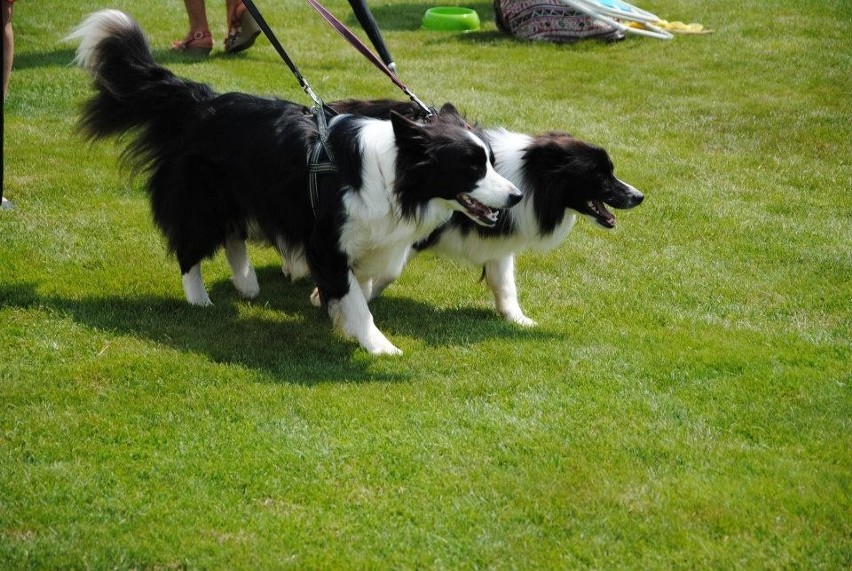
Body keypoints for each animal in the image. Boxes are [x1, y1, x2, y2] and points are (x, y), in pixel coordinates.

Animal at [70, 11, 520, 356]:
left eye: (491, 161)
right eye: (472, 168)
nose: (516, 196)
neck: (395, 172)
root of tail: (201, 101)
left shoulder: (373, 239)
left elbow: (364, 283)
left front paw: (337, 314)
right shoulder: (327, 239)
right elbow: (354, 296)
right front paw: (377, 344)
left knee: (233, 234)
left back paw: (247, 283)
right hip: (202, 198)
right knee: (191, 246)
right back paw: (199, 298)